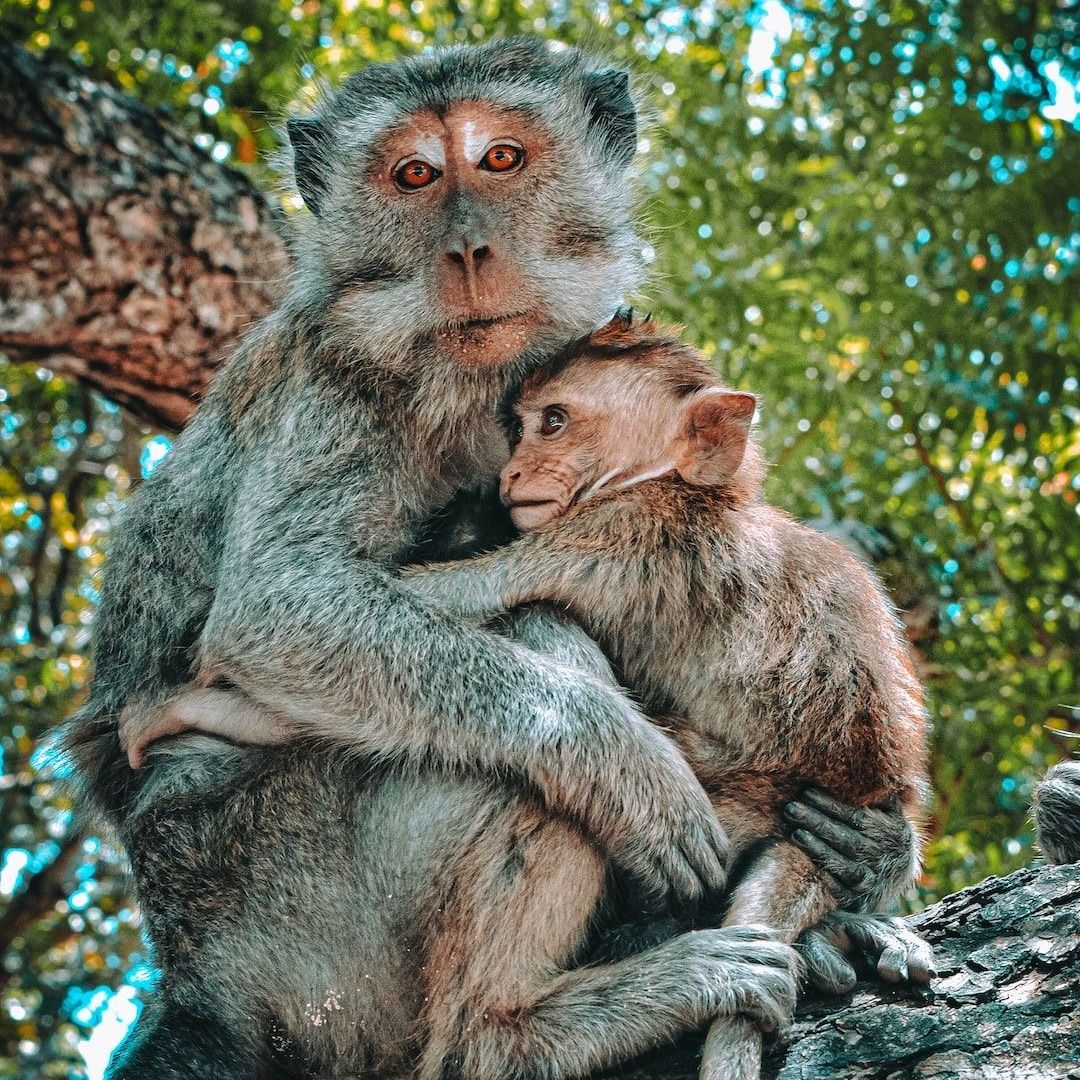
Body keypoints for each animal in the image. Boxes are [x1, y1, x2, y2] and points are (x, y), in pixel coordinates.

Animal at [52, 39, 931, 1079]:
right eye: (415, 176)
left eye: (500, 160)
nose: (468, 251)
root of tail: (198, 980)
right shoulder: (335, 384)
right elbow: (279, 608)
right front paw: (619, 762)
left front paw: (874, 851)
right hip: (290, 916)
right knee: (527, 683)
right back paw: (527, 1024)